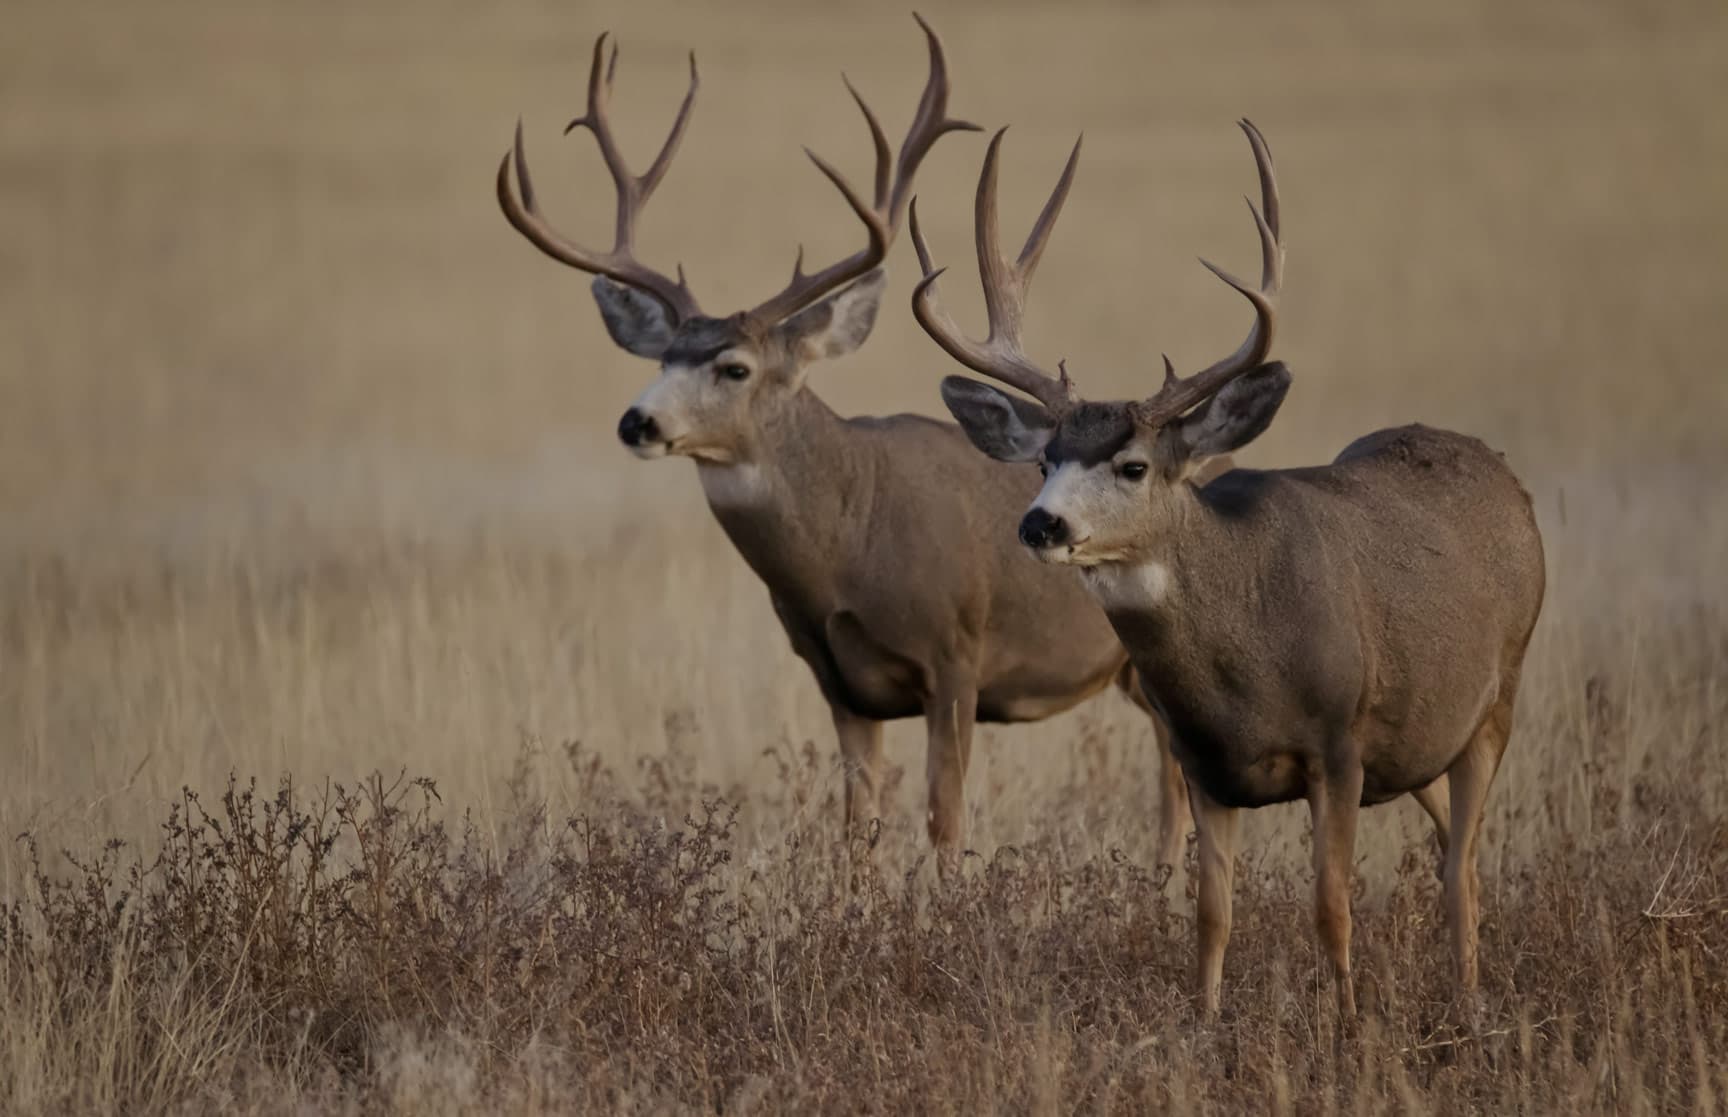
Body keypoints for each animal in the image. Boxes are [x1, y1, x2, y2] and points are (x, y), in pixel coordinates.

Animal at [495, 16, 1197, 876]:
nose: (638, 422)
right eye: (661, 358)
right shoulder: (840, 683)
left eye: (735, 366)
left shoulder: (956, 657)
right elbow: (856, 831)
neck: (849, 541)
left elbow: (944, 825)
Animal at [907, 120, 1545, 1017]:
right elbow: (1210, 911)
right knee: (1457, 846)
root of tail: (1507, 480)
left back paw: (1469, 1000)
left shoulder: (1340, 743)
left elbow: (1331, 903)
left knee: (1463, 870)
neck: (1244, 663)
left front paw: (1346, 1022)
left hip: (1499, 696)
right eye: (1043, 460)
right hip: (1425, 734)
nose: (1040, 523)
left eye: (1133, 465)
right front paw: (1204, 1020)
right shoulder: (1202, 761)